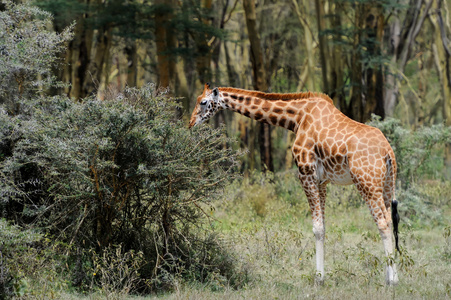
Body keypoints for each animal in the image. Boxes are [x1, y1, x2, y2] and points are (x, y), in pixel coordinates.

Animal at [189, 83, 400, 284]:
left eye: (203, 102)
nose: (191, 124)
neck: (297, 118)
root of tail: (388, 151)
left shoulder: (305, 173)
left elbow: (317, 228)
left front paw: (318, 278)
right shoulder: (322, 181)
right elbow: (323, 226)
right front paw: (321, 276)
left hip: (366, 183)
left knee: (383, 223)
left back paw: (392, 281)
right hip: (387, 185)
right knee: (391, 221)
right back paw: (390, 276)